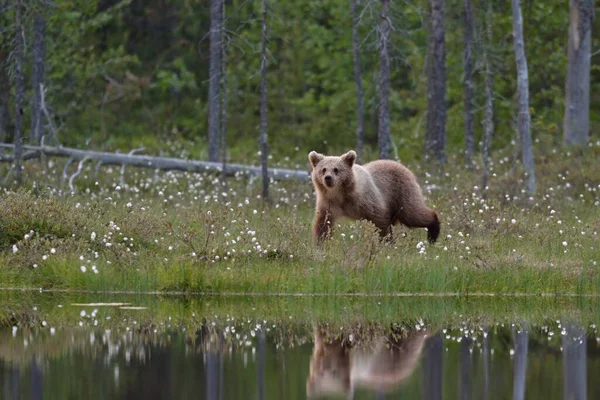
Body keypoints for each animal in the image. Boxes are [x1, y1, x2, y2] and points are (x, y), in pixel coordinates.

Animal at [310, 150, 440, 244]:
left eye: (336, 169)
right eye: (323, 169)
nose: (328, 178)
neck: (341, 194)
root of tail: (402, 165)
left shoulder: (366, 199)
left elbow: (380, 219)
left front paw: (386, 241)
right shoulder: (329, 204)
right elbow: (323, 224)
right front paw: (320, 243)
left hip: (402, 192)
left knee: (413, 214)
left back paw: (433, 233)